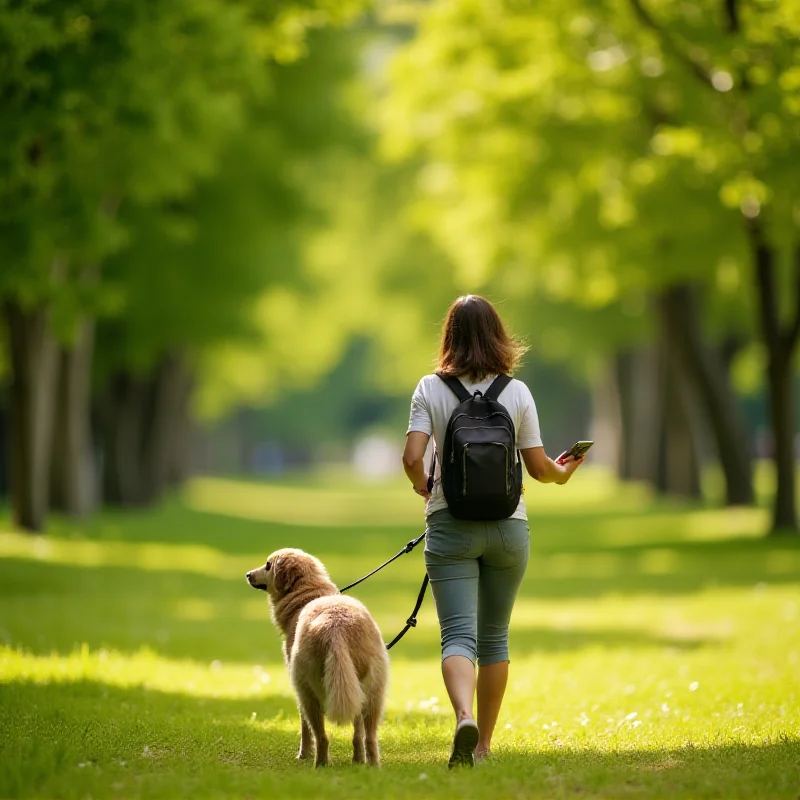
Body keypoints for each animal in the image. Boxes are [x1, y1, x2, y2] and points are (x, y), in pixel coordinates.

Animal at [247, 548, 390, 764]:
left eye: (268, 565)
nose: (248, 574)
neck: (307, 594)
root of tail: (336, 627)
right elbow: (358, 733)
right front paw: (358, 760)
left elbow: (304, 727)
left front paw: (303, 754)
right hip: (372, 692)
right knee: (369, 737)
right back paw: (368, 765)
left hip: (307, 690)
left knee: (321, 736)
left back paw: (320, 764)